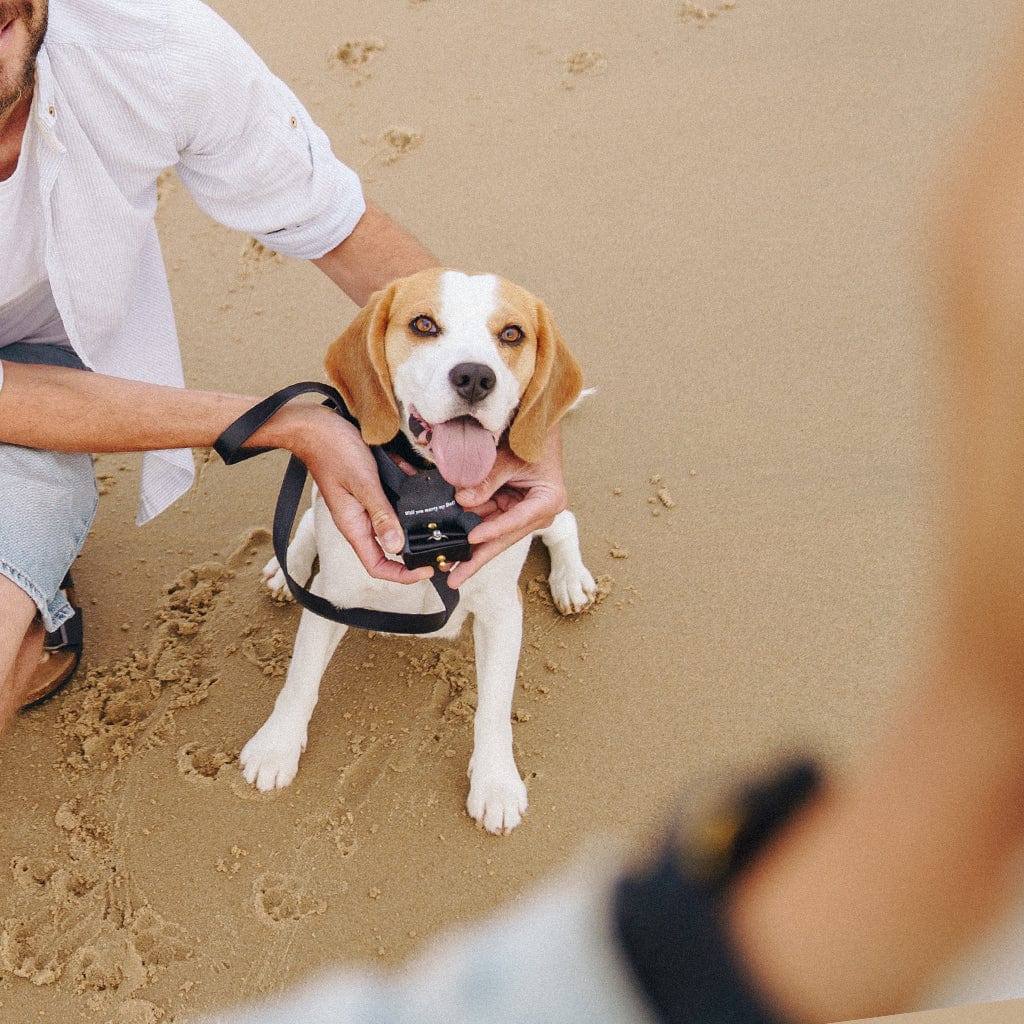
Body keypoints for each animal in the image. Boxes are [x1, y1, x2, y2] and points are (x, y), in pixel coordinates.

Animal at [242, 268, 598, 835]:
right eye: (424, 325)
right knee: (310, 519)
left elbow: (494, 707)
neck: (433, 484)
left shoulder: (502, 612)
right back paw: (286, 565)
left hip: (540, 494)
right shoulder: (333, 595)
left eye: (512, 334)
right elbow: (300, 676)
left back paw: (570, 578)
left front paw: (495, 782)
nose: (475, 377)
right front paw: (276, 745)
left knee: (562, 520)